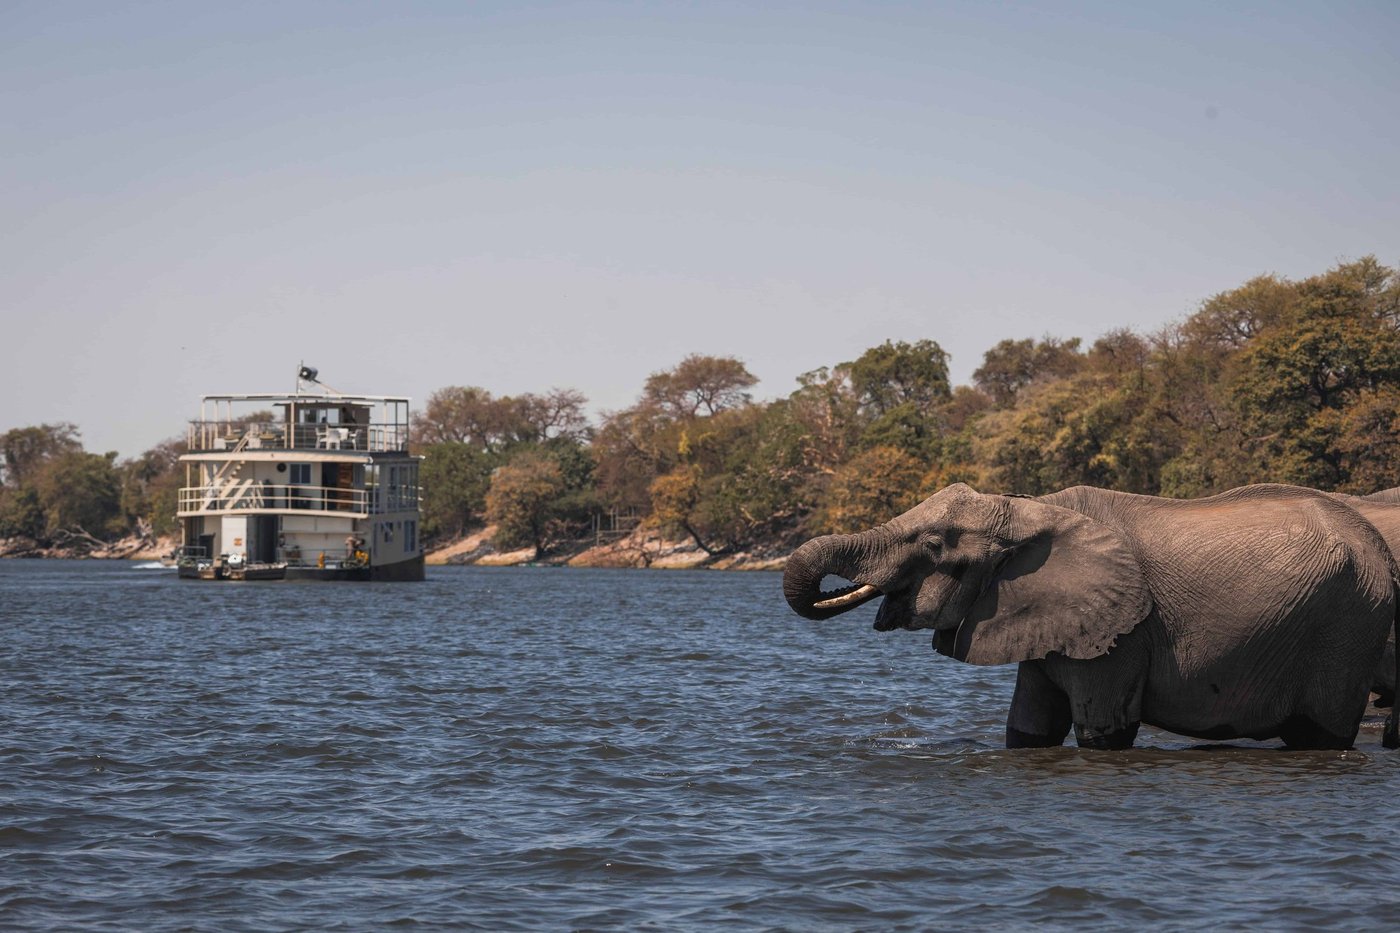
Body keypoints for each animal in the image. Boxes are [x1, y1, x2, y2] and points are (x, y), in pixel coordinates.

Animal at [784, 482, 1400, 750]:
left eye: (933, 545)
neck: (1028, 509)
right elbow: (1029, 728)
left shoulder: (1121, 633)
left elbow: (1103, 730)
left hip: (1348, 624)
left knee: (1318, 734)